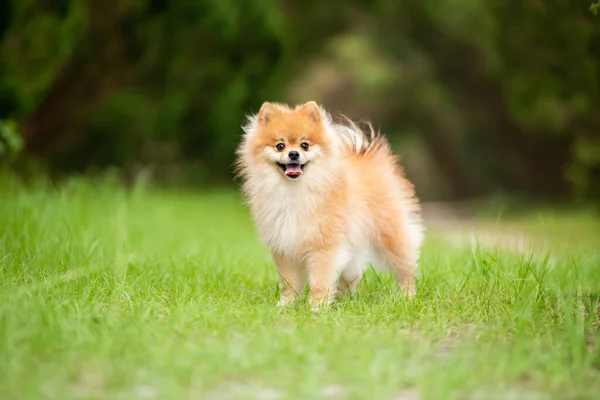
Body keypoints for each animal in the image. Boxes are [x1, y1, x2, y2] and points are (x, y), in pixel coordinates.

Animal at [234, 101, 422, 308]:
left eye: (305, 145)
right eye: (280, 146)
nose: (293, 154)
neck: (295, 191)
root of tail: (366, 153)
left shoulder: (324, 245)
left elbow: (320, 280)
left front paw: (316, 306)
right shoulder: (285, 246)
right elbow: (289, 282)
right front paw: (286, 305)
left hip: (391, 235)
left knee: (405, 269)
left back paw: (407, 297)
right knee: (353, 274)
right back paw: (343, 300)